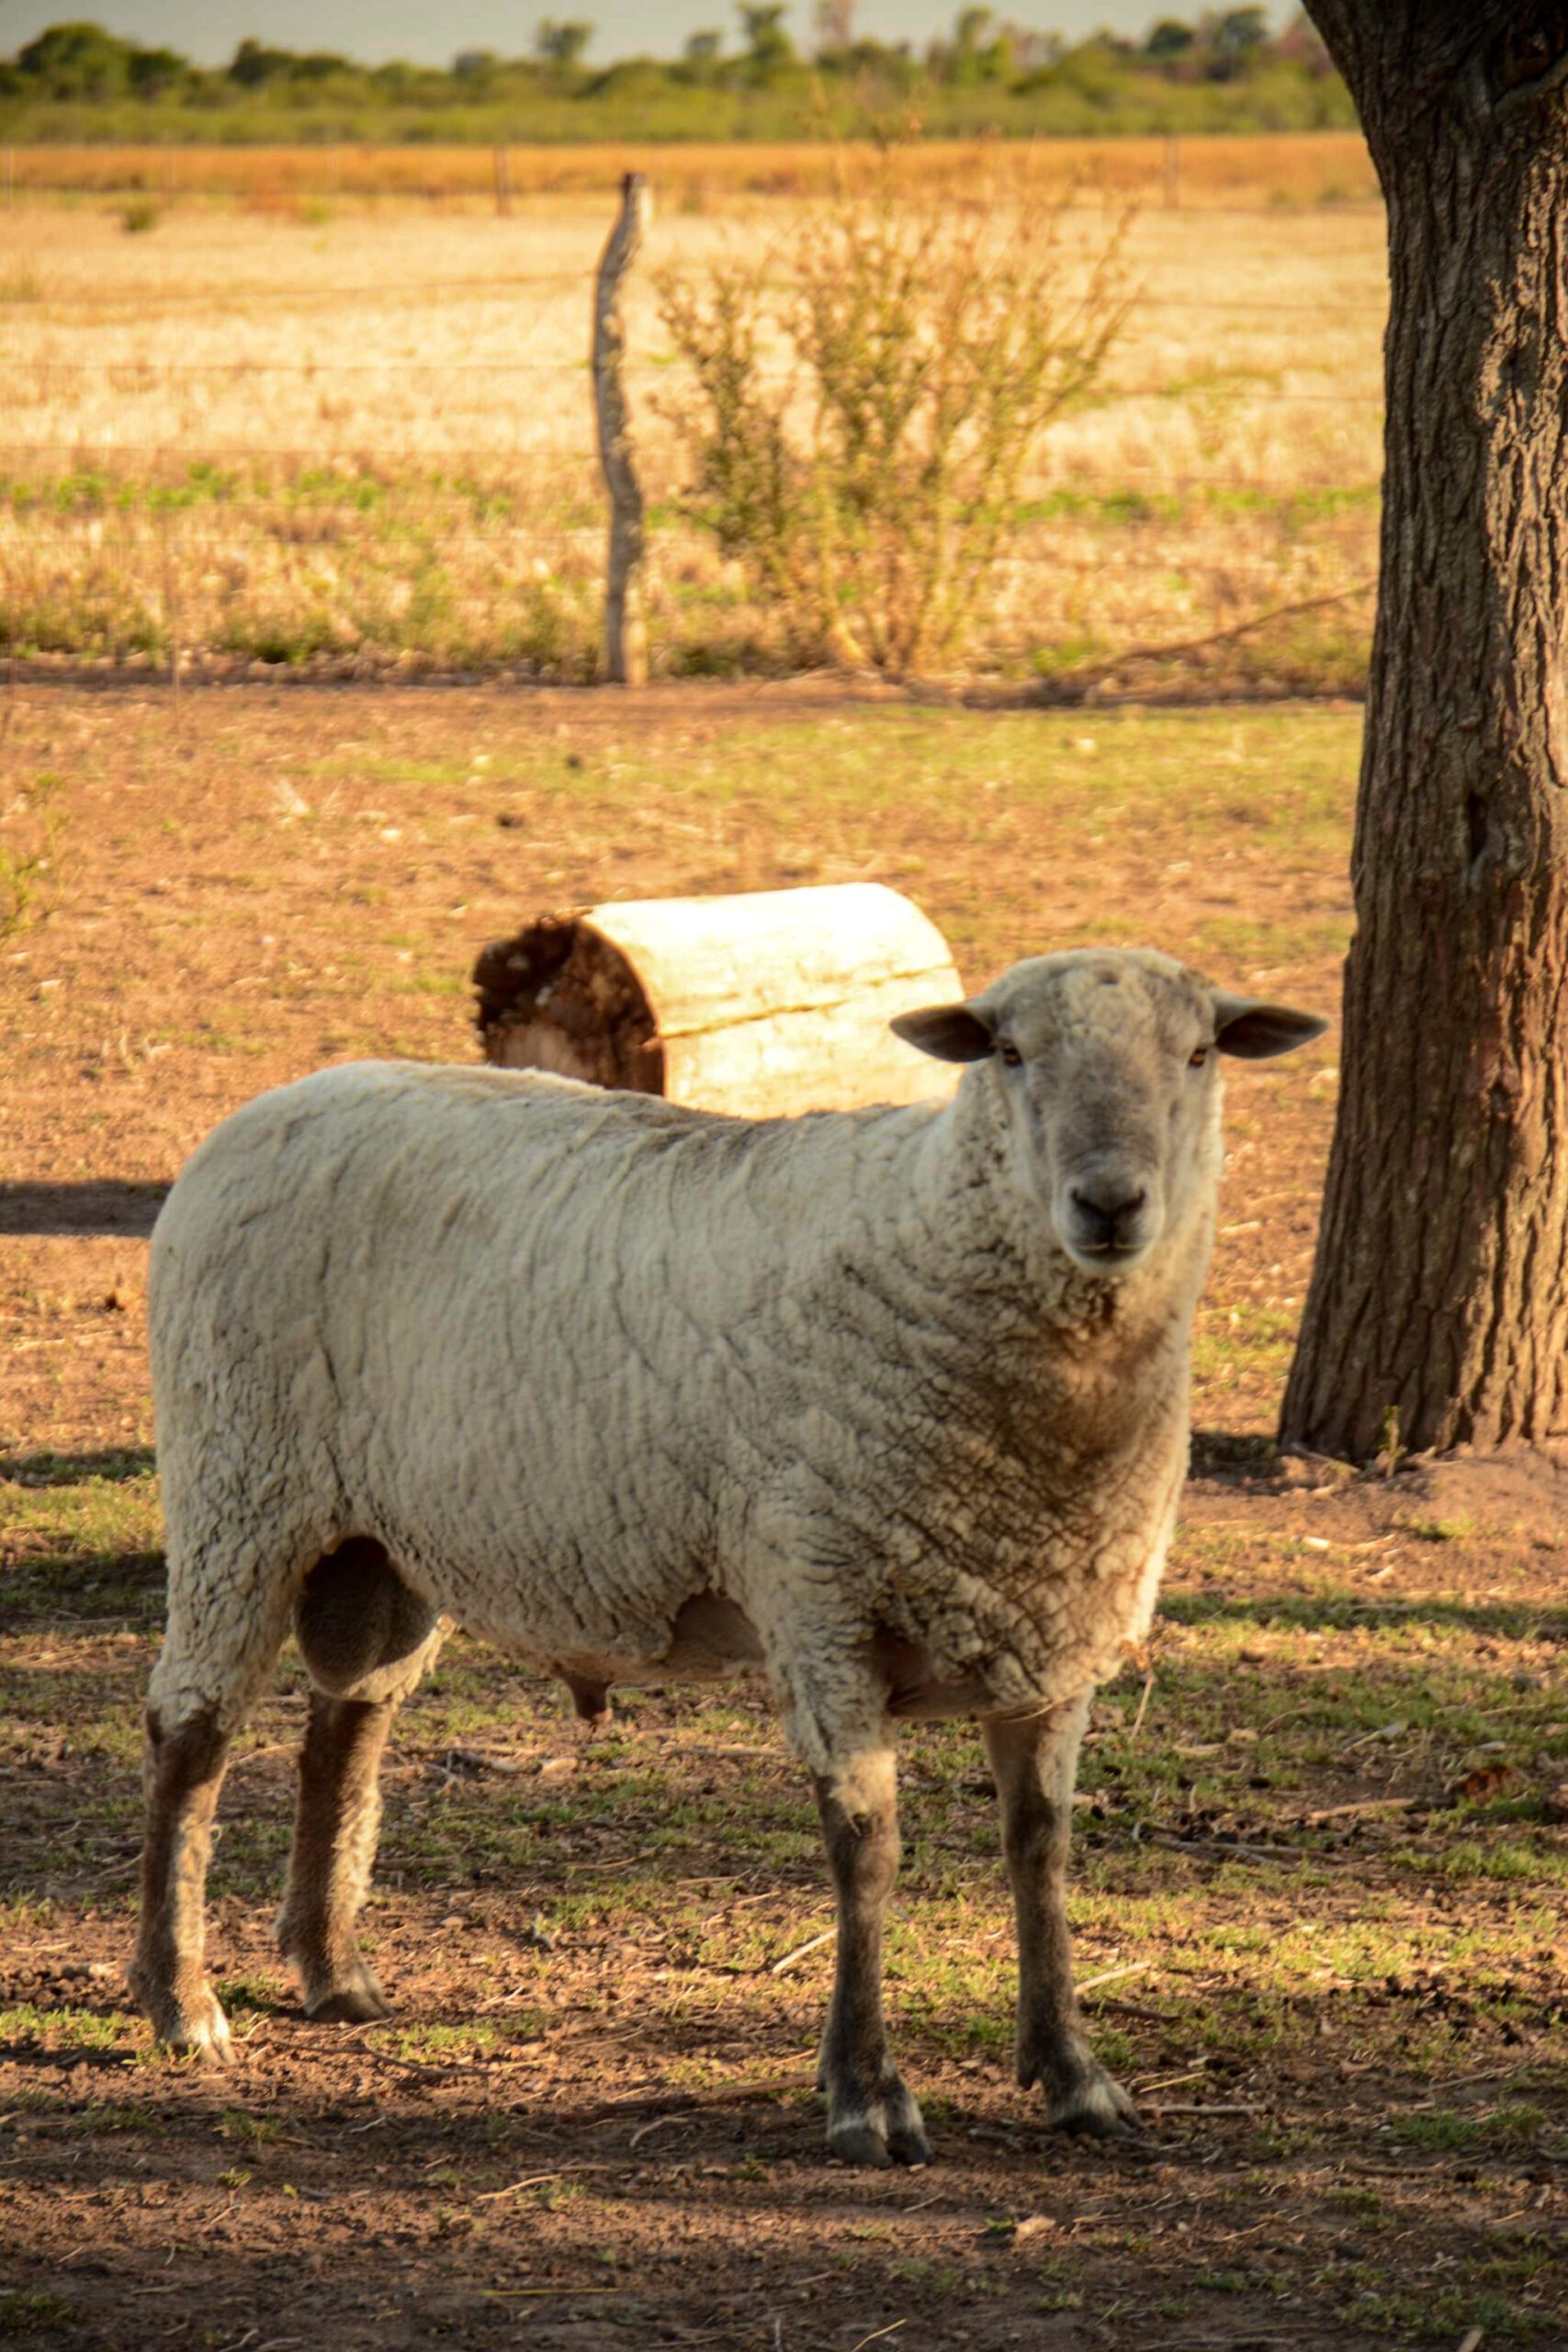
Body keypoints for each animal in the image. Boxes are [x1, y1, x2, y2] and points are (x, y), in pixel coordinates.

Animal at [130, 945, 1324, 2166]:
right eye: (1007, 1050)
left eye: (1199, 1052)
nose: (1111, 1202)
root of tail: (280, 1098)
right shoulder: (821, 1599)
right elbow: (867, 1849)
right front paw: (866, 2092)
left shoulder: (1048, 1625)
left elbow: (1039, 1846)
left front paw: (1074, 2074)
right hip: (237, 1485)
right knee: (193, 1732)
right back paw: (181, 2001)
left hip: (378, 1537)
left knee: (347, 1726)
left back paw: (334, 1974)